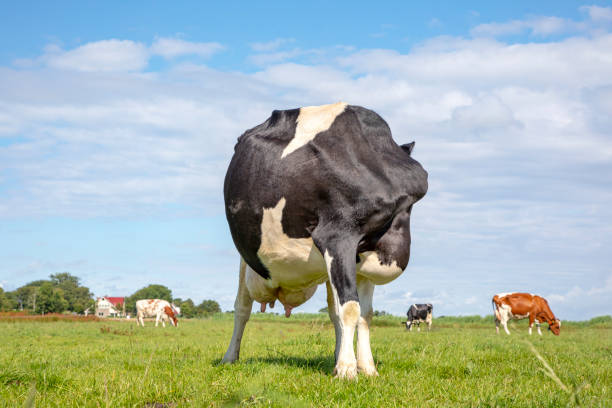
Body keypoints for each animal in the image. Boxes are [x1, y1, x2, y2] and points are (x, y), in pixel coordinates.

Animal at [222, 102, 428, 380]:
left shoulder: (363, 261)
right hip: (246, 258)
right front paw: (348, 370)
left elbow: (364, 314)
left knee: (334, 312)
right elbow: (350, 308)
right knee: (241, 309)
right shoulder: (337, 236)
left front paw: (366, 367)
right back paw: (230, 357)